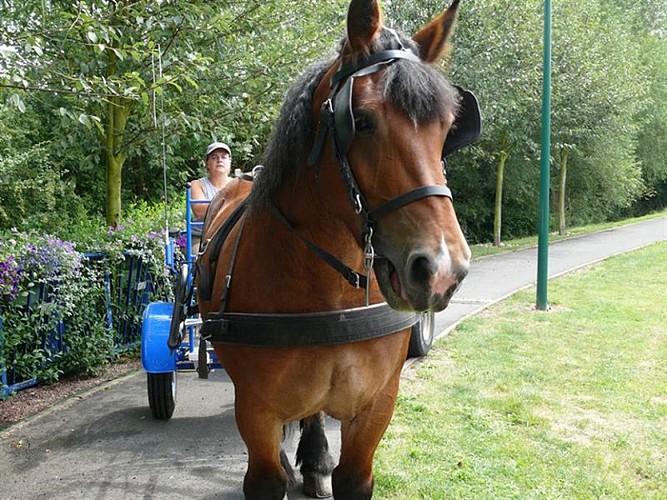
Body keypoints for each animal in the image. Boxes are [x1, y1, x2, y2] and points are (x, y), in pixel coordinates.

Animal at [198, 0, 474, 498]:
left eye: (446, 129)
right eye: (360, 121)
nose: (442, 270)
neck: (329, 294)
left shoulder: (377, 406)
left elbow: (353, 476)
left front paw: (320, 462)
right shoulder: (256, 411)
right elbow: (266, 475)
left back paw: (314, 461)